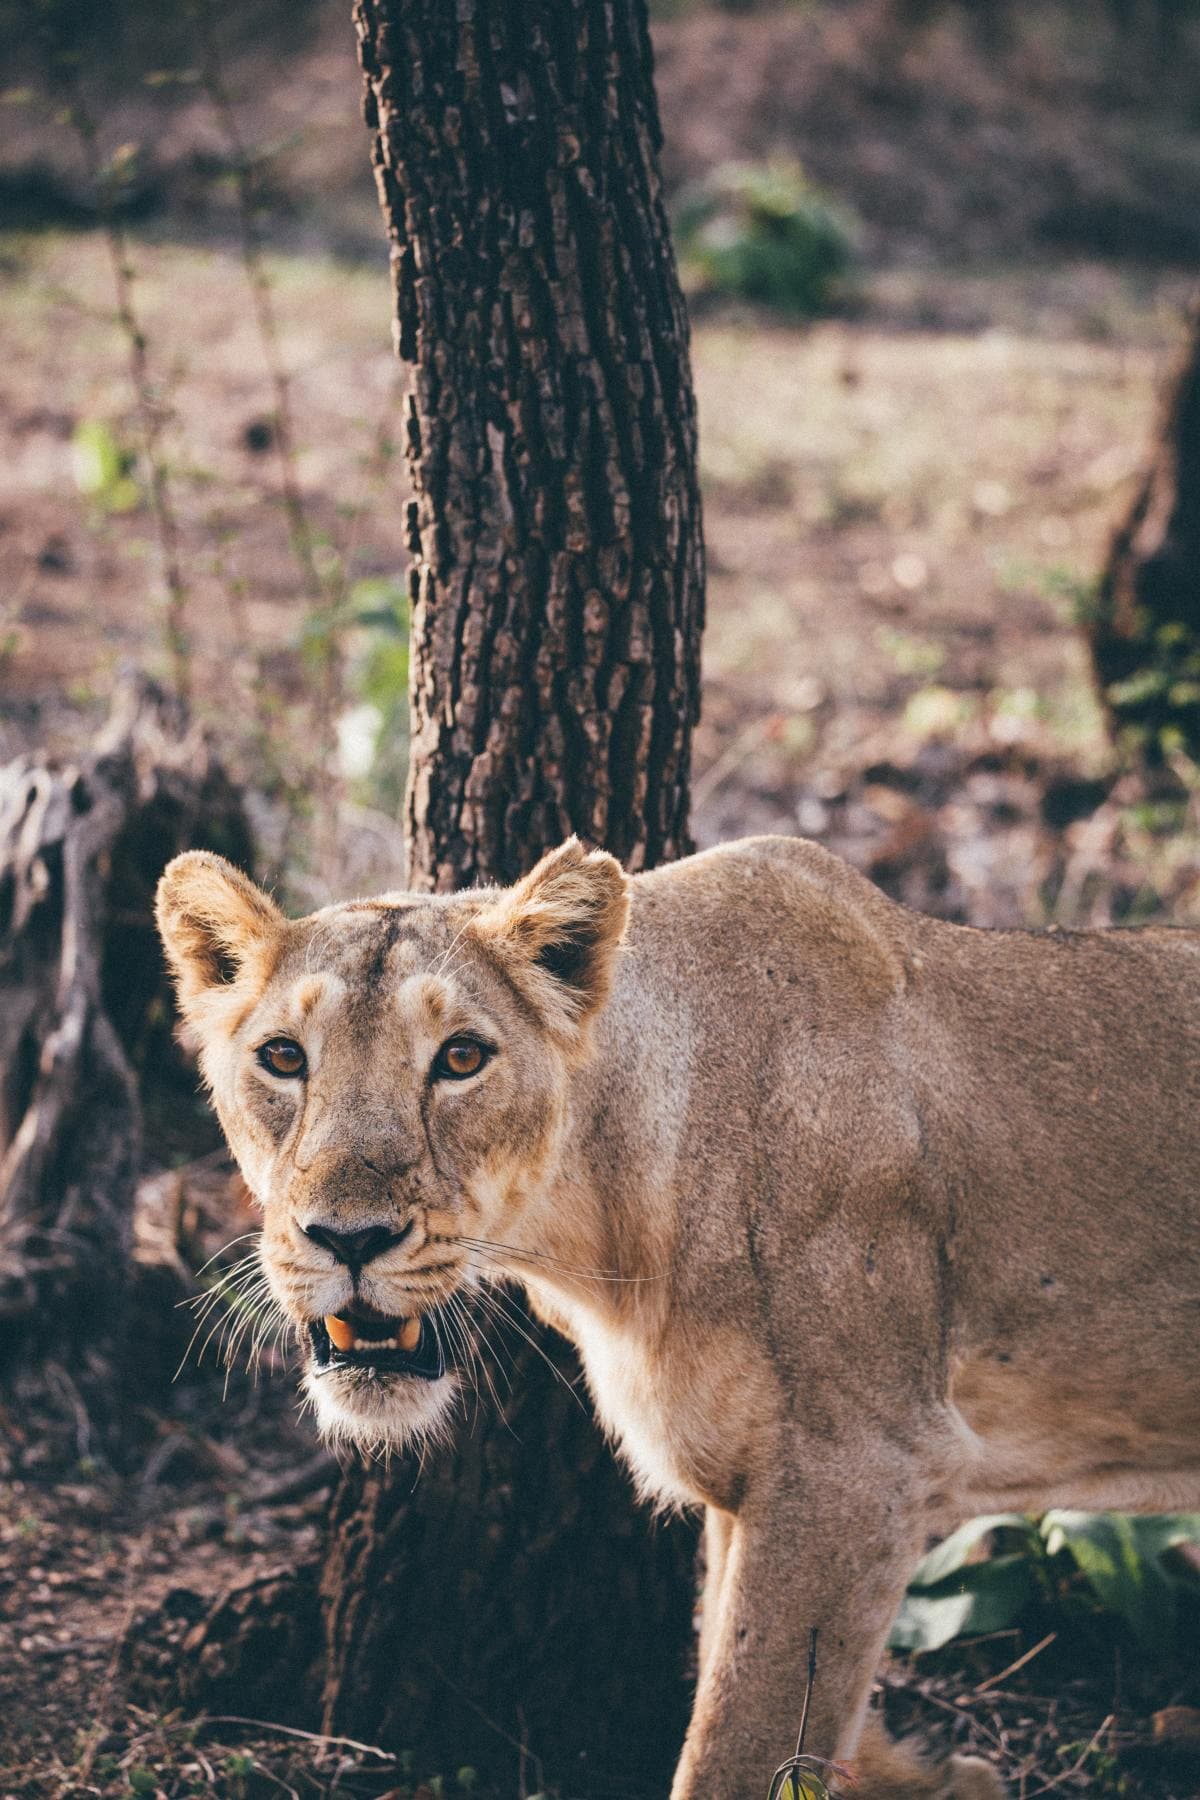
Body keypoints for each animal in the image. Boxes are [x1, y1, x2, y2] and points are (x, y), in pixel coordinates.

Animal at [156, 833, 1200, 1800]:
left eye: (461, 1058)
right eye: (283, 1058)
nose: (348, 1238)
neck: (605, 1230)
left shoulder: (860, 1468)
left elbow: (734, 1747)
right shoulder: (755, 1488)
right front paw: (927, 1775)